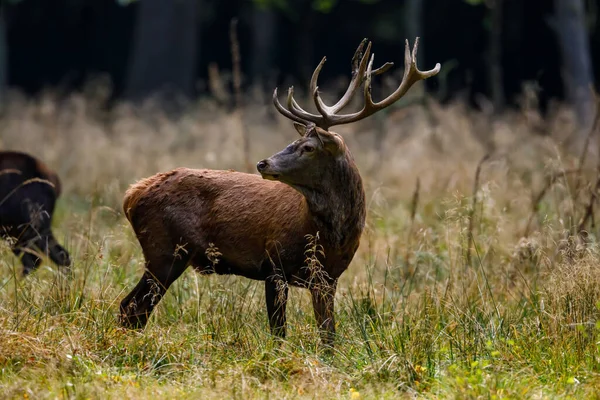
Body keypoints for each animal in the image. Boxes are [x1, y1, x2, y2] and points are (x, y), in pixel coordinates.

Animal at [120, 37, 440, 346]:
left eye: (308, 147)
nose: (263, 163)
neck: (327, 234)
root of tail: (131, 195)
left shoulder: (328, 277)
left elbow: (328, 334)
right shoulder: (273, 264)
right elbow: (279, 332)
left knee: (132, 308)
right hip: (164, 249)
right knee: (131, 307)